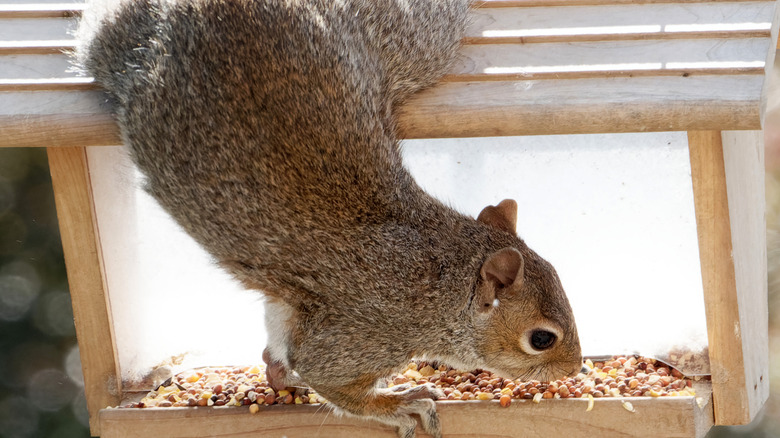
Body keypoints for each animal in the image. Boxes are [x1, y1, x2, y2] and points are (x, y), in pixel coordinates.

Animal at [79, 1, 580, 436]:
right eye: (541, 339)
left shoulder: (296, 309)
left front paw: (282, 375)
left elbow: (280, 351)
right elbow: (333, 381)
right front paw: (401, 403)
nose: (575, 367)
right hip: (418, 35)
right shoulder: (366, 332)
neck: (440, 276)